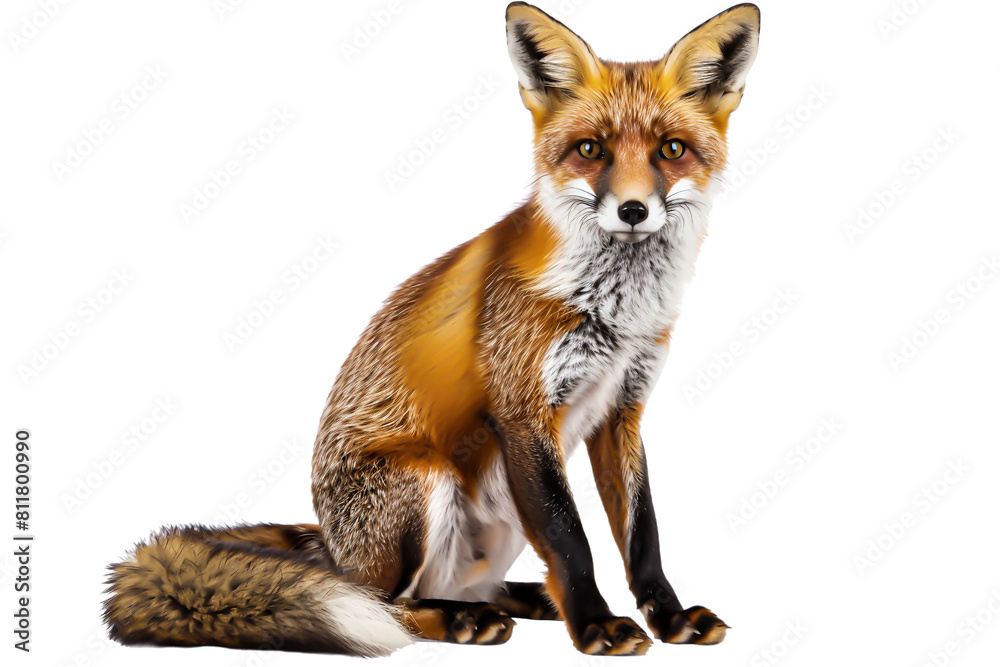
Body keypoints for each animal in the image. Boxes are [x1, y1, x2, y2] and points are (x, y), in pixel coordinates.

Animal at [104, 2, 760, 657]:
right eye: (590, 149)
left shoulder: (622, 409)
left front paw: (668, 617)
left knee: (472, 587)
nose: (632, 211)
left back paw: (521, 602)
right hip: (427, 480)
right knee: (389, 606)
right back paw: (461, 621)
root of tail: (334, 551)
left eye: (671, 150)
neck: (617, 311)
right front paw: (596, 625)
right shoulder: (524, 410)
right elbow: (570, 541)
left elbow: (642, 535)